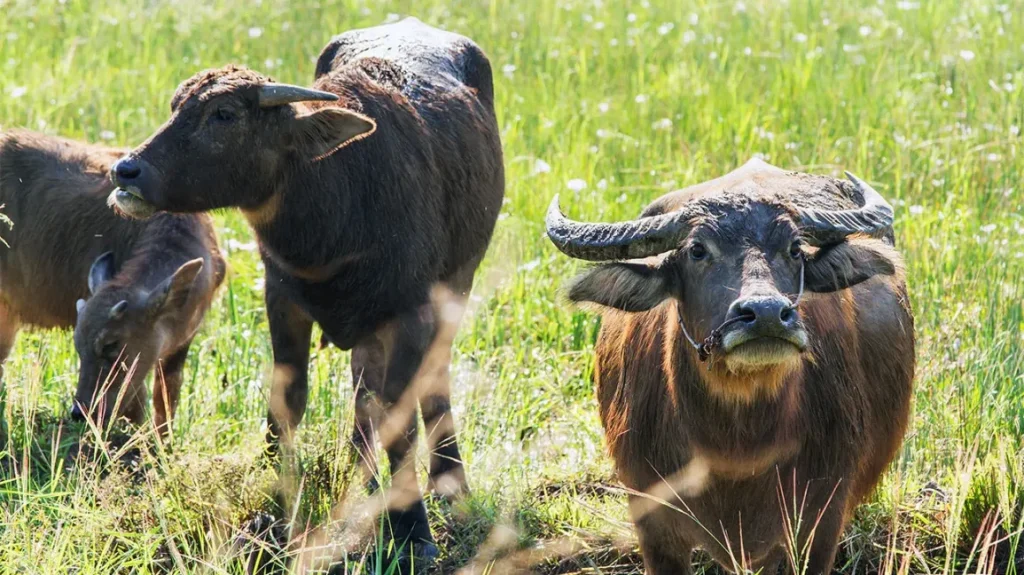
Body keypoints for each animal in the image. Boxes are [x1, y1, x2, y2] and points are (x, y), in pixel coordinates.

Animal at [547, 159, 914, 574]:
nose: (767, 314)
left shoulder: (820, 524)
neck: (738, 446)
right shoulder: (653, 524)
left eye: (795, 248)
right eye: (697, 250)